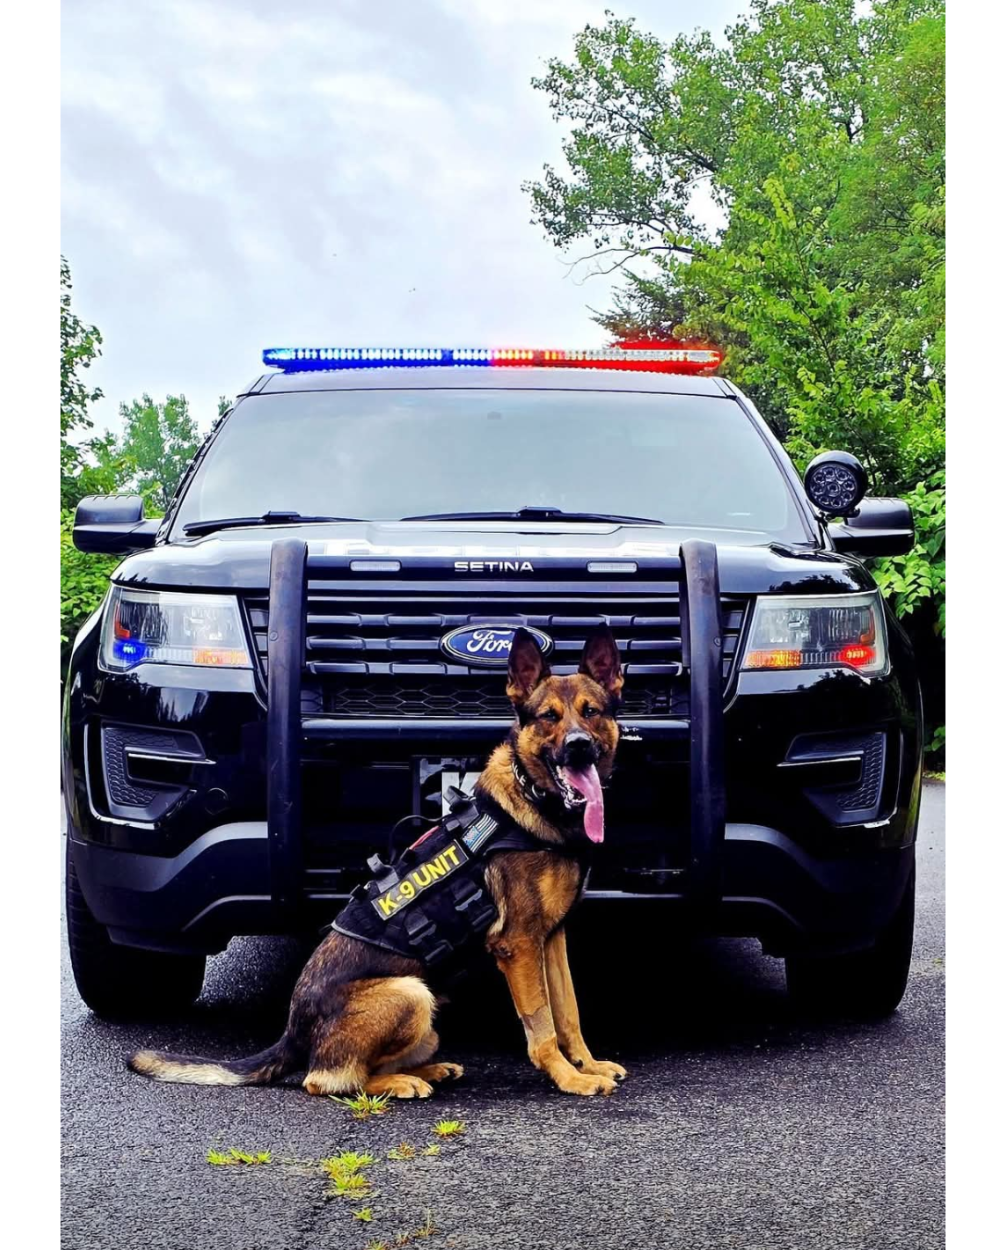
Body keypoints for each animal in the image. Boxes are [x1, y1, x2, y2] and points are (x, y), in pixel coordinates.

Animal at [130, 626, 627, 1098]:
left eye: (591, 712)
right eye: (549, 718)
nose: (579, 746)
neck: (534, 800)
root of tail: (293, 1032)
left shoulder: (552, 939)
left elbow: (569, 1011)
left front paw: (586, 1064)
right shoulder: (519, 945)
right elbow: (542, 1025)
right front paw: (568, 1077)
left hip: (426, 1015)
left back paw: (427, 1071)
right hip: (411, 992)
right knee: (327, 1079)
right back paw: (401, 1082)